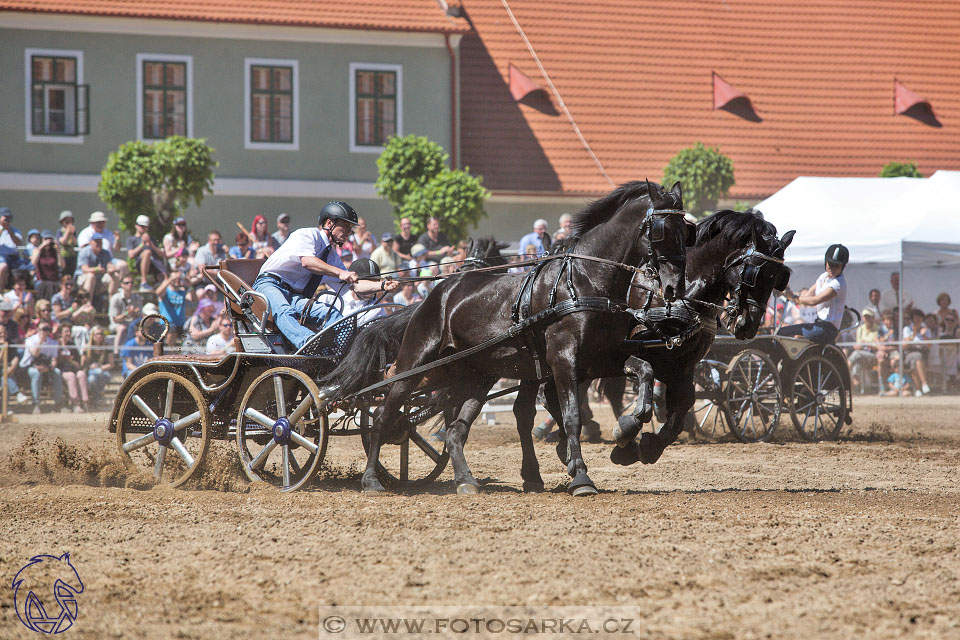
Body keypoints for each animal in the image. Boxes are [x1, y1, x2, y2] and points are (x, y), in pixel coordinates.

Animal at [348, 180, 692, 496]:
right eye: (662, 230)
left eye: (686, 229)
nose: (674, 288)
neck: (585, 281)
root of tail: (436, 293)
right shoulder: (563, 361)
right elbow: (571, 416)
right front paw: (581, 476)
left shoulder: (601, 358)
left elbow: (644, 371)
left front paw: (628, 428)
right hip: (415, 364)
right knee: (383, 414)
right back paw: (371, 480)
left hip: (475, 376)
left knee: (455, 430)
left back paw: (466, 481)